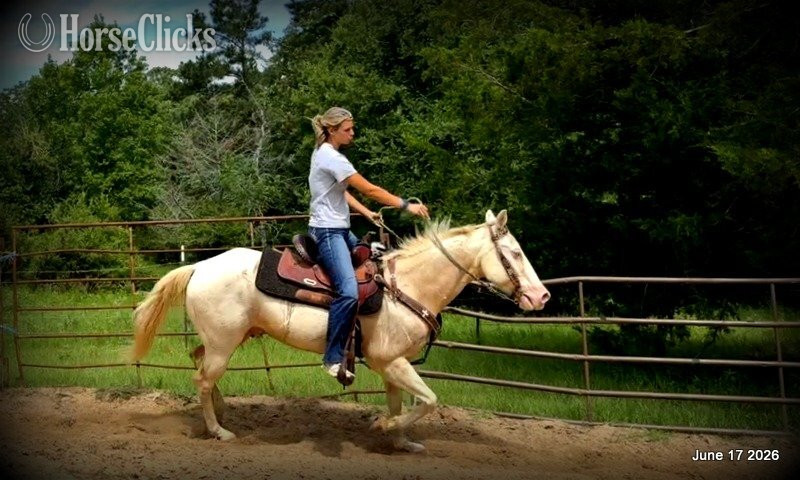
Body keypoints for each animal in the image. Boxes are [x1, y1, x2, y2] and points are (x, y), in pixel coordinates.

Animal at [130, 209, 550, 452]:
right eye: (514, 253)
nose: (541, 296)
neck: (407, 286)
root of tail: (199, 267)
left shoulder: (393, 364)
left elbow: (403, 401)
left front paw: (401, 441)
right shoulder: (389, 361)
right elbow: (429, 401)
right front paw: (383, 425)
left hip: (228, 338)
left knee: (197, 361)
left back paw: (220, 412)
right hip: (223, 342)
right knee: (203, 378)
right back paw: (219, 431)